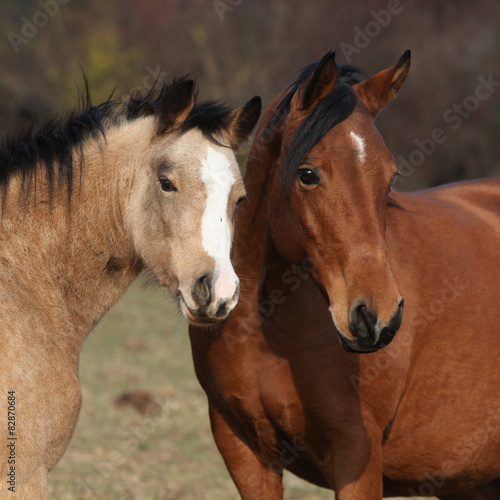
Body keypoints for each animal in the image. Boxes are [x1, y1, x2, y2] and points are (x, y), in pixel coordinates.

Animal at [188, 48, 500, 498]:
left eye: (390, 177)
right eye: (307, 174)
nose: (378, 318)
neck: (264, 326)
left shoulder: (356, 455)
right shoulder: (243, 451)